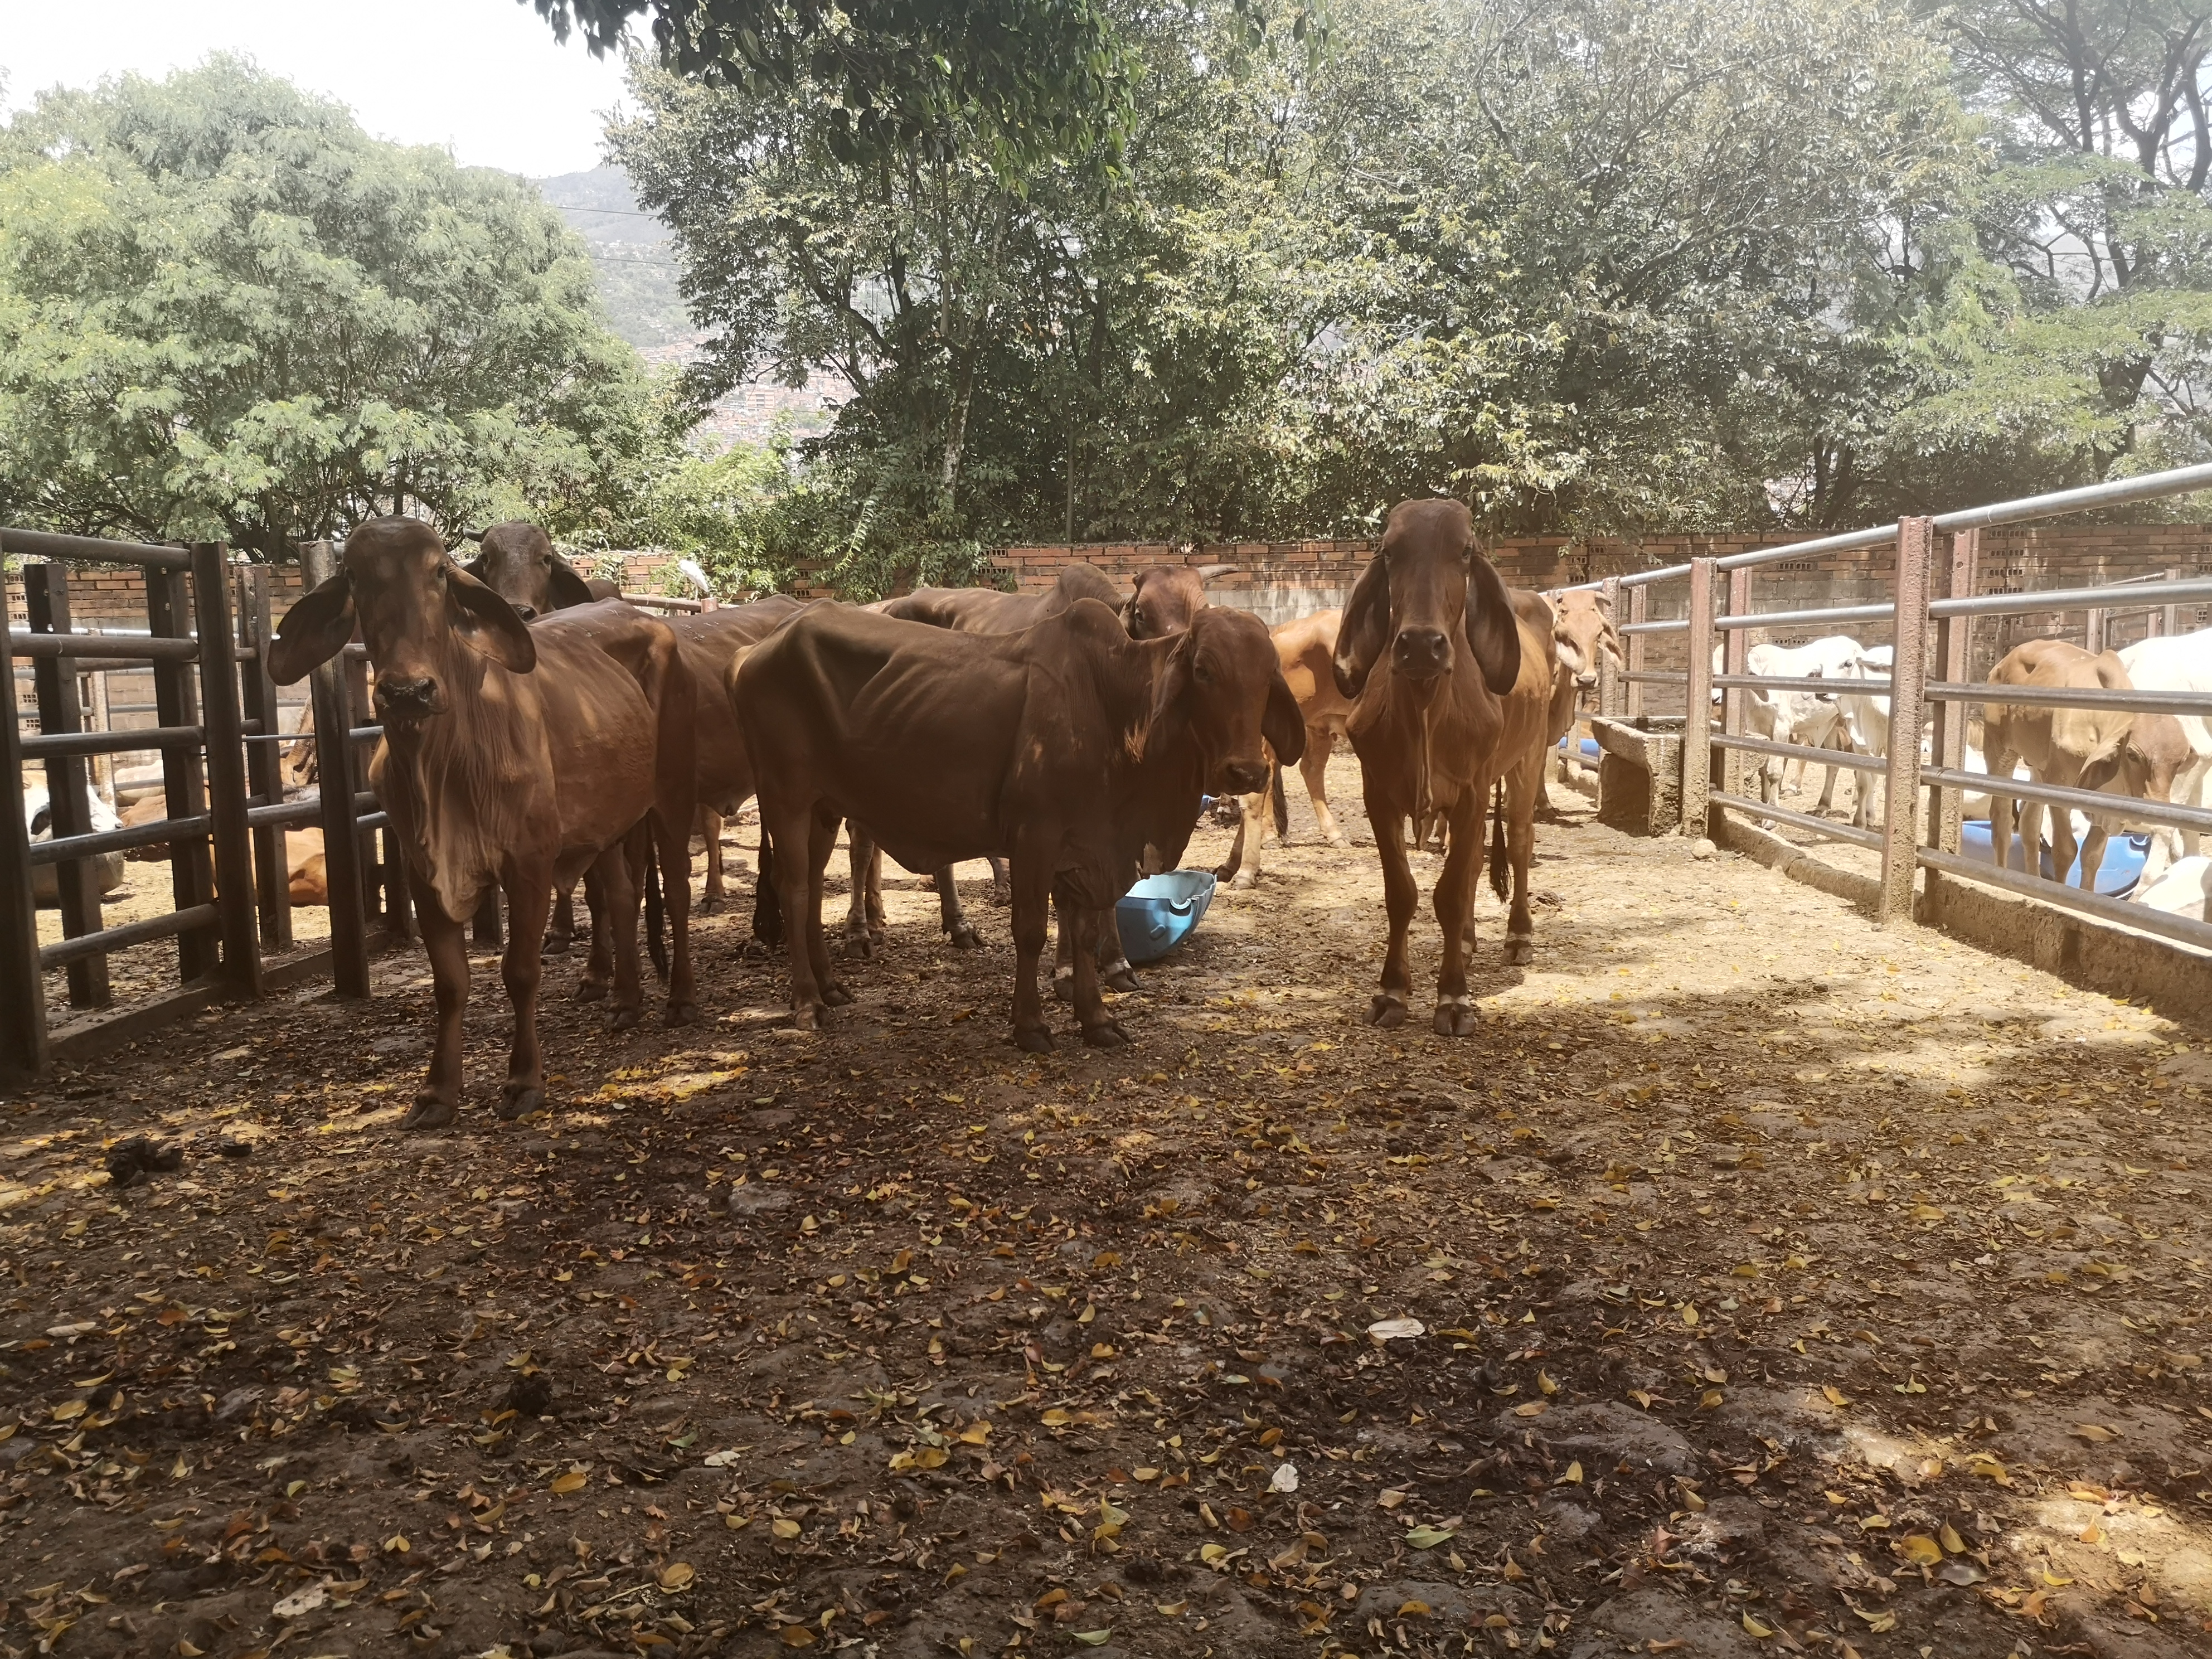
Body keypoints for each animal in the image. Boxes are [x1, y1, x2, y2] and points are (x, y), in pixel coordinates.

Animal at [268, 517, 698, 1131]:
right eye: (353, 575)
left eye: (440, 573)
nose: (407, 691)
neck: (444, 759)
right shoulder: (422, 872)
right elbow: (450, 983)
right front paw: (437, 1092)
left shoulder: (529, 865)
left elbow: (520, 971)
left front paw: (523, 1081)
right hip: (608, 822)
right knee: (620, 894)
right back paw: (625, 1001)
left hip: (670, 796)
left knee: (678, 891)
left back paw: (681, 999)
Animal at [734, 600, 1304, 1051]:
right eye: (1204, 670)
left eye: (1268, 673)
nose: (1246, 771)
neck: (1112, 706)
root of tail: (758, 650)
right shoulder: (1037, 836)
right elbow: (1030, 932)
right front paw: (1030, 1025)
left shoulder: (1086, 846)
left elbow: (1085, 932)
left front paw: (1096, 1019)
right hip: (785, 799)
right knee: (794, 890)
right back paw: (807, 1002)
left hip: (824, 808)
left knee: (811, 886)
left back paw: (830, 986)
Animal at [1332, 499, 1530, 1033]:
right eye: (1389, 552)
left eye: (1464, 551)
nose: (1421, 644)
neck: (1425, 707)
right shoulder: (1378, 795)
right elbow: (1403, 893)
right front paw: (1392, 992)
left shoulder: (1472, 793)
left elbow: (1451, 894)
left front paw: (1454, 997)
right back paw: (1467, 940)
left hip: (1528, 762)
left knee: (1519, 847)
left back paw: (1519, 936)